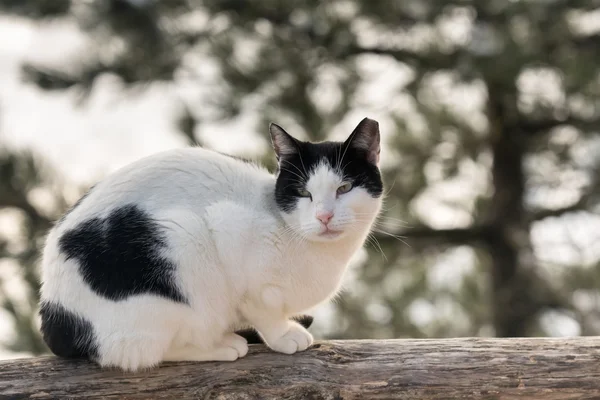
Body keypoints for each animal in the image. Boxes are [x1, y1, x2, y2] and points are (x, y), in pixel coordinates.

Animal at [38, 117, 384, 370]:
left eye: (344, 188)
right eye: (303, 192)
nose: (324, 216)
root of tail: (54, 316)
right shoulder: (229, 230)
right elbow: (264, 311)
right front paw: (284, 335)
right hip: (183, 240)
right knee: (138, 352)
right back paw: (221, 344)